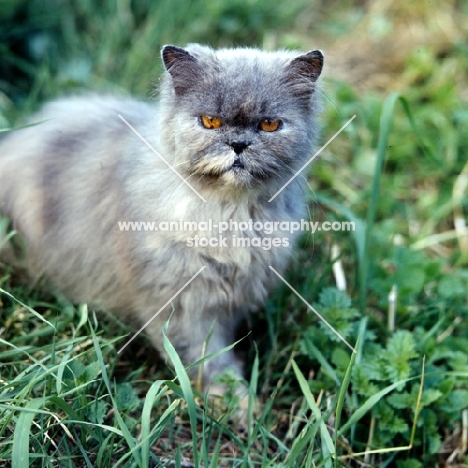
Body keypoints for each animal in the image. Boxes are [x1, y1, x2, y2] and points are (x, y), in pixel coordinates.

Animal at [0, 43, 322, 388]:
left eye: (269, 125)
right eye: (210, 121)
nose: (238, 144)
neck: (229, 214)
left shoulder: (231, 296)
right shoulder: (179, 300)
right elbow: (203, 357)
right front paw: (231, 397)